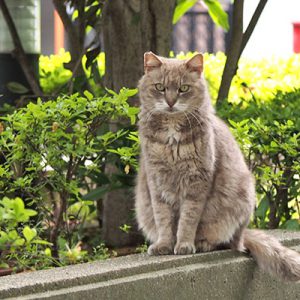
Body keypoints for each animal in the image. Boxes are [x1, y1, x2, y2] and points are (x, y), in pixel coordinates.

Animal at [135, 51, 300, 282]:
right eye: (160, 87)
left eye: (183, 88)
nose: (170, 102)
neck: (171, 136)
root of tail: (244, 234)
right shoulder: (156, 181)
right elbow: (163, 218)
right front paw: (164, 245)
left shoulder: (198, 181)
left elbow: (188, 219)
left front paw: (184, 244)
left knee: (228, 242)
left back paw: (204, 243)